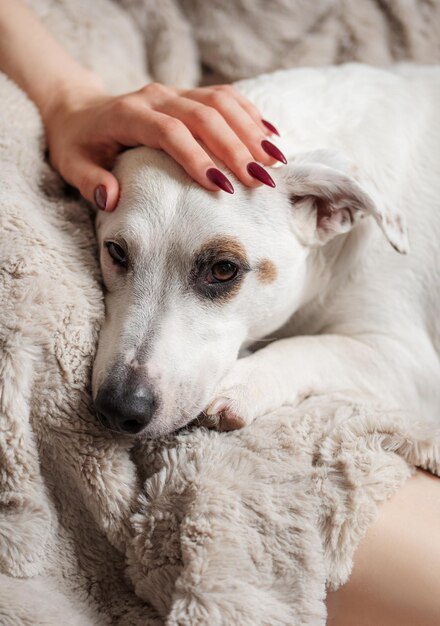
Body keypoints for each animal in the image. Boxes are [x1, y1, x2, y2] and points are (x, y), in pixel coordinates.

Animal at [91, 63, 440, 434]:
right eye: (116, 252)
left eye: (223, 270)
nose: (120, 407)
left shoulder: (412, 365)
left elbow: (315, 347)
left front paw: (243, 383)